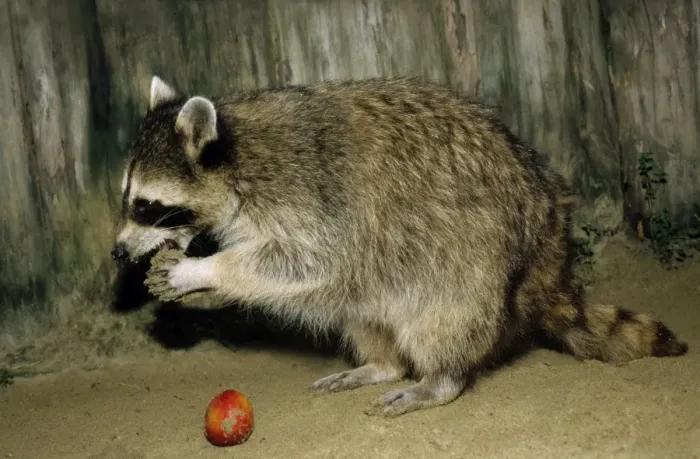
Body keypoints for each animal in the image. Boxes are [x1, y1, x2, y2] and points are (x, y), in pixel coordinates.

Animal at [112, 75, 688, 417]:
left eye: (146, 205)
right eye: (126, 199)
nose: (117, 252)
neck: (237, 153)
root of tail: (548, 219)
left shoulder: (316, 197)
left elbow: (303, 262)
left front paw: (204, 271)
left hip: (472, 256)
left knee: (442, 320)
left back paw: (440, 378)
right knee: (361, 310)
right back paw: (381, 363)